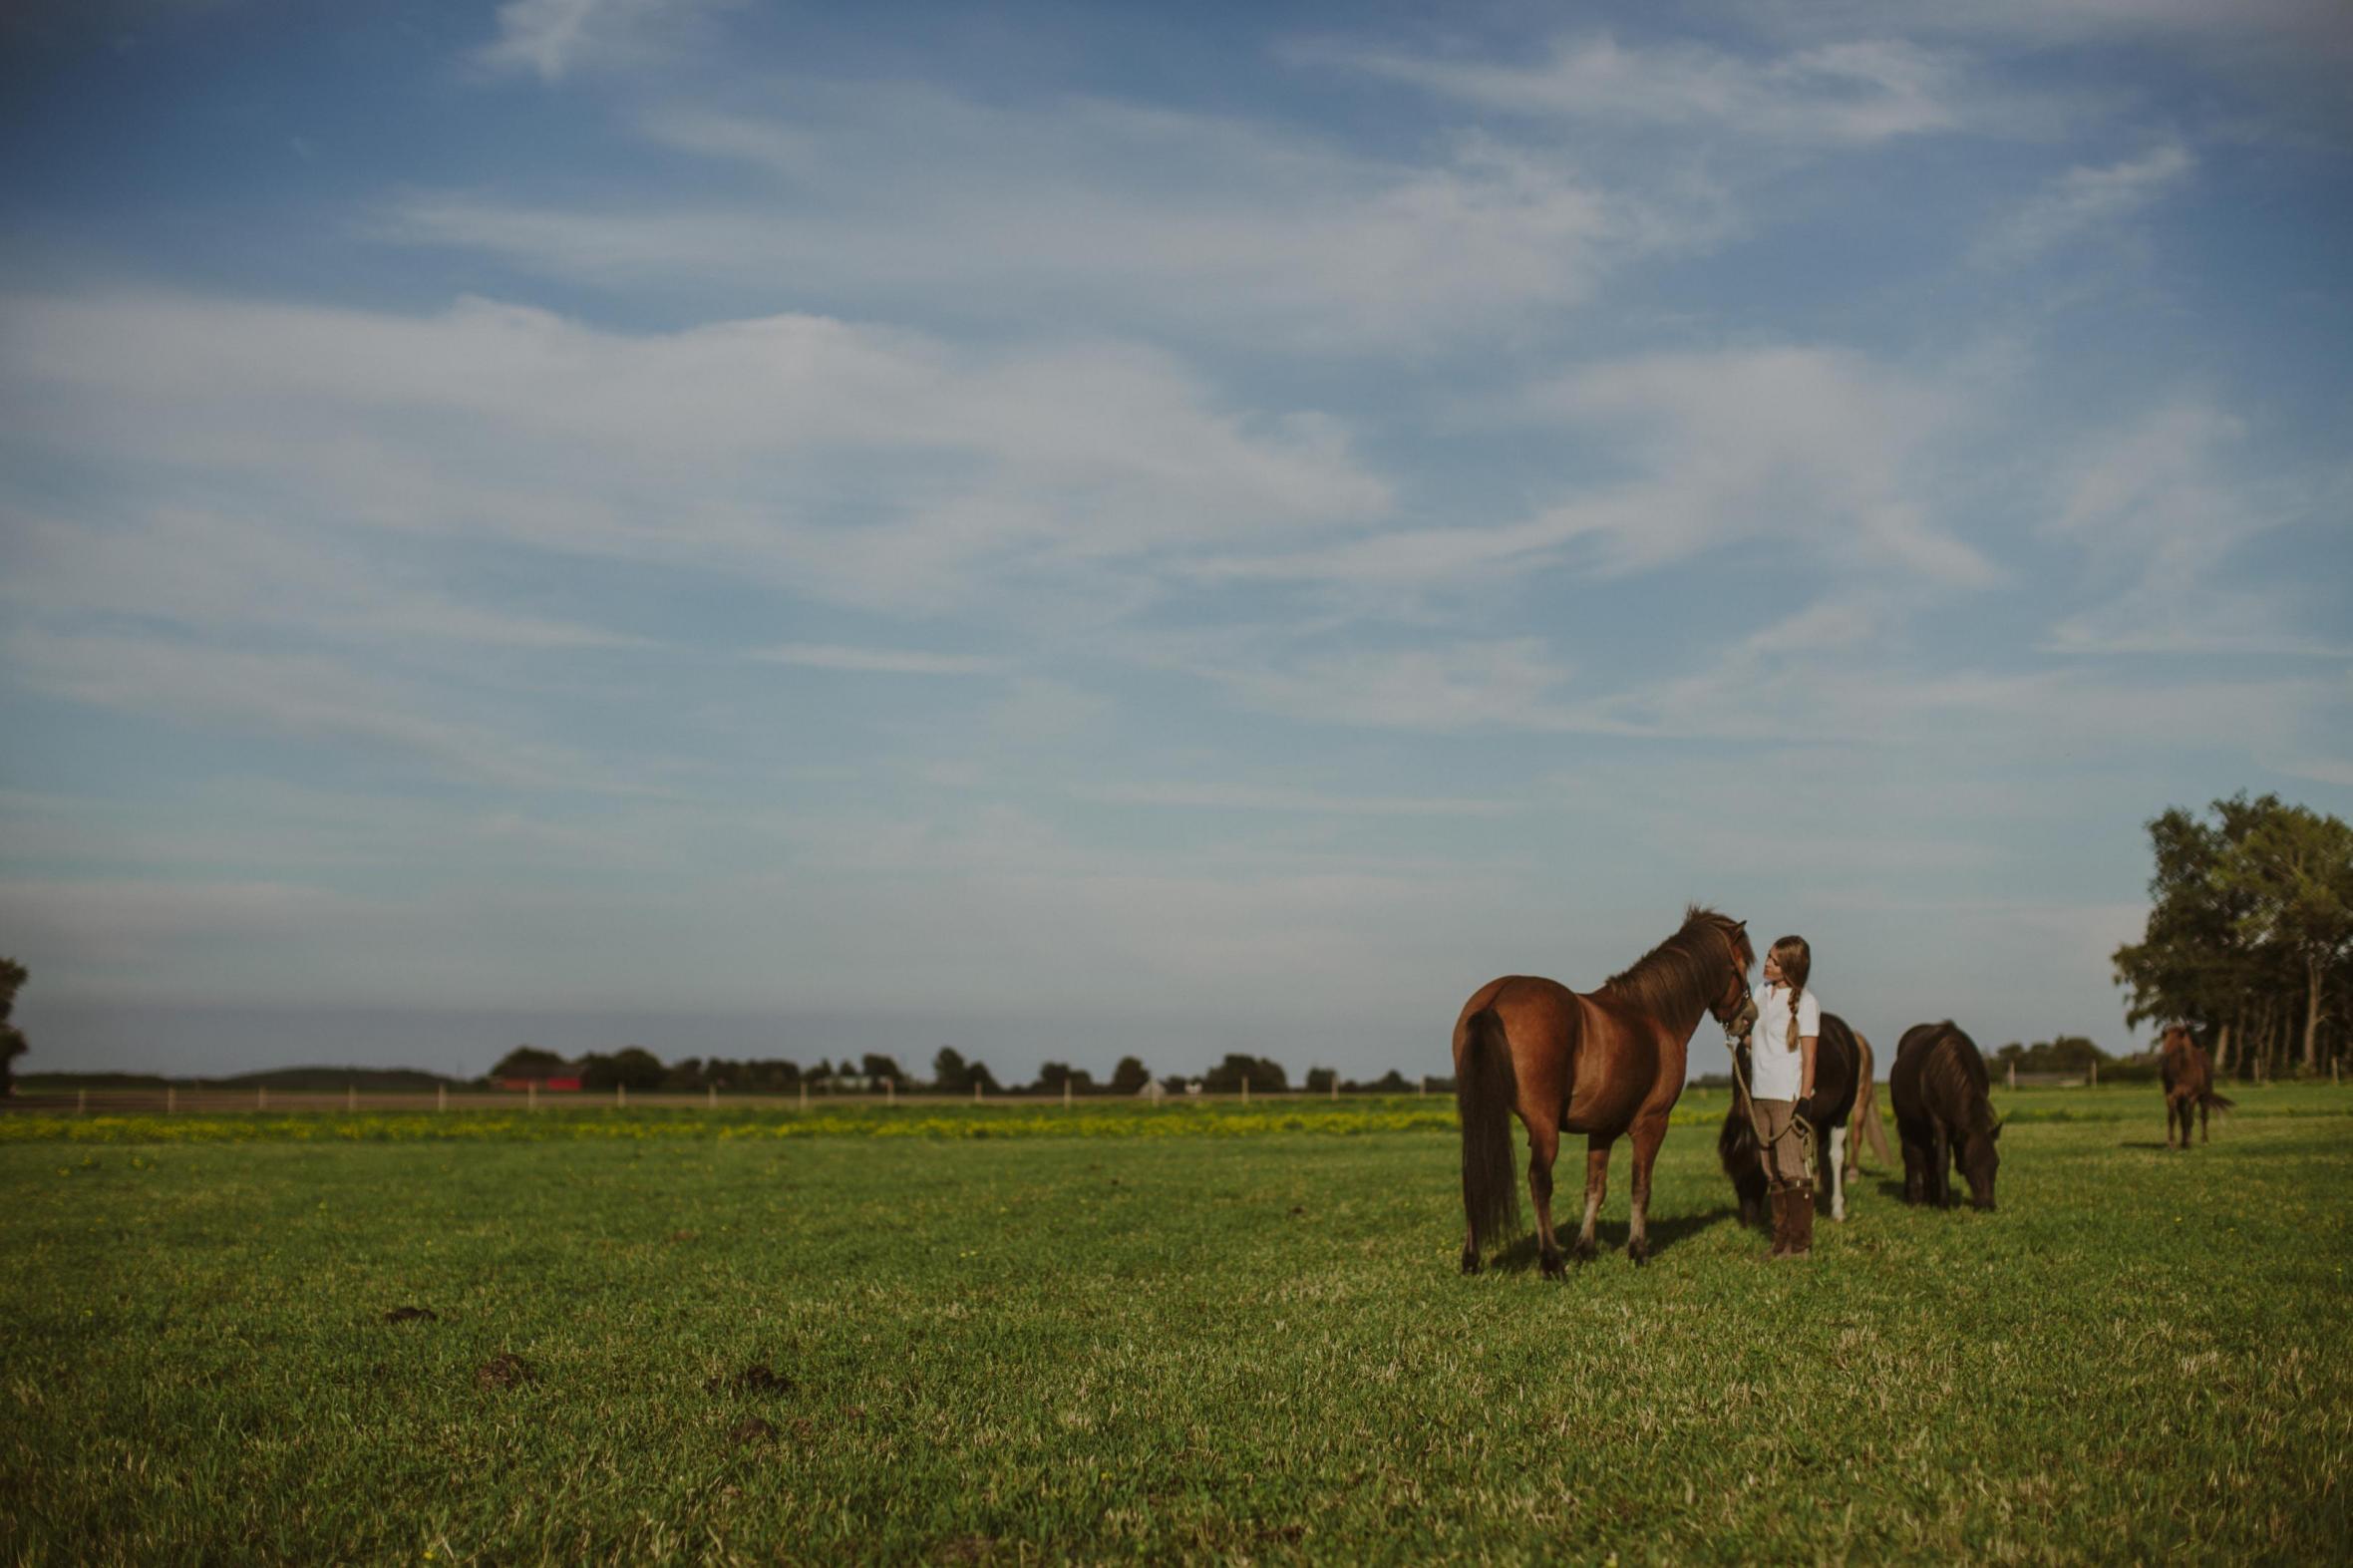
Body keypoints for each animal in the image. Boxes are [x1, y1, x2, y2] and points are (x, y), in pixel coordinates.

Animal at [1454, 905, 1755, 1278]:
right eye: (1741, 965)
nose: (1748, 1018)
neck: (1656, 1014)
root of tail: (1496, 998)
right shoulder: (1652, 1122)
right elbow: (1640, 1187)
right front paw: (1637, 1250)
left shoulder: (1601, 1129)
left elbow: (1595, 1188)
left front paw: (1585, 1248)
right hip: (1542, 1124)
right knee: (1539, 1180)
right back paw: (1551, 1261)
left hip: (1479, 1115)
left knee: (1474, 1173)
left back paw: (1472, 1259)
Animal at [1718, 1013, 1892, 1227]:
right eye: (1733, 1174)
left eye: (1754, 1172)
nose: (1749, 1222)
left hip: (1841, 1113)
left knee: (1836, 1155)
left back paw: (1837, 1209)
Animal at [1890, 1022, 2001, 1211]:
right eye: (1970, 1165)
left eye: (1996, 1163)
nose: (1988, 1205)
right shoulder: (1938, 1121)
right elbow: (1942, 1160)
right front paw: (1944, 1202)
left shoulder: (1959, 1124)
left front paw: (1938, 1197)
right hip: (1908, 1122)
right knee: (1911, 1152)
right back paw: (1915, 1196)